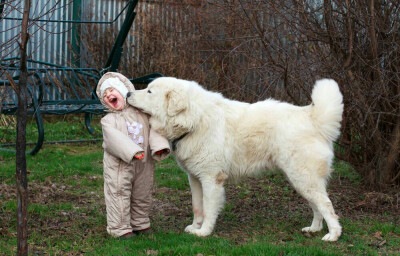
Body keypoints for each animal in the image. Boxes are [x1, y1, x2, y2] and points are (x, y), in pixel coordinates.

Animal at [127, 77, 344, 241]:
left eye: (149, 91)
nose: (128, 94)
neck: (194, 120)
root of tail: (311, 117)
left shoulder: (211, 179)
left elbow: (208, 208)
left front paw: (204, 232)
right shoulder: (195, 178)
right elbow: (197, 207)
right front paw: (195, 227)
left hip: (303, 178)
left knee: (326, 205)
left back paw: (333, 235)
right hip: (301, 181)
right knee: (317, 206)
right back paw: (314, 228)